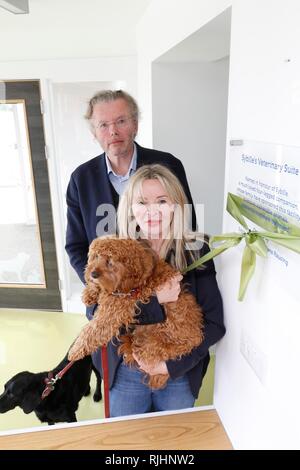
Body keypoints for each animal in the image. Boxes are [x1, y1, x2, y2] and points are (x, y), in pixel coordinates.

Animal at [68, 239, 204, 390]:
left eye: (110, 261)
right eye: (96, 256)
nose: (93, 274)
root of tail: (197, 337)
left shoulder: (113, 311)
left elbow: (93, 330)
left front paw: (75, 350)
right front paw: (90, 293)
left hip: (154, 341)